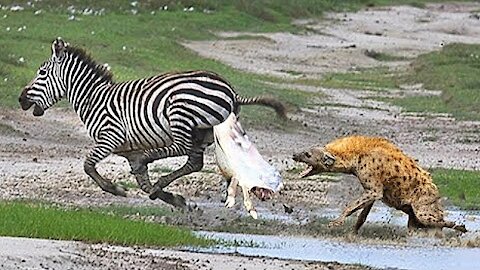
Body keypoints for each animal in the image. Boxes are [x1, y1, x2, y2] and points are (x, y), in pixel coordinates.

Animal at [19, 37, 284, 207]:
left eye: (42, 73)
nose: (21, 99)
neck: (93, 98)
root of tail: (231, 90)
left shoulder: (110, 136)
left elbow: (88, 166)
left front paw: (116, 189)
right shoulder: (128, 150)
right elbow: (143, 183)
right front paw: (175, 200)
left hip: (180, 113)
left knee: (181, 149)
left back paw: (151, 161)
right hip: (206, 132)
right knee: (194, 162)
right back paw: (160, 182)